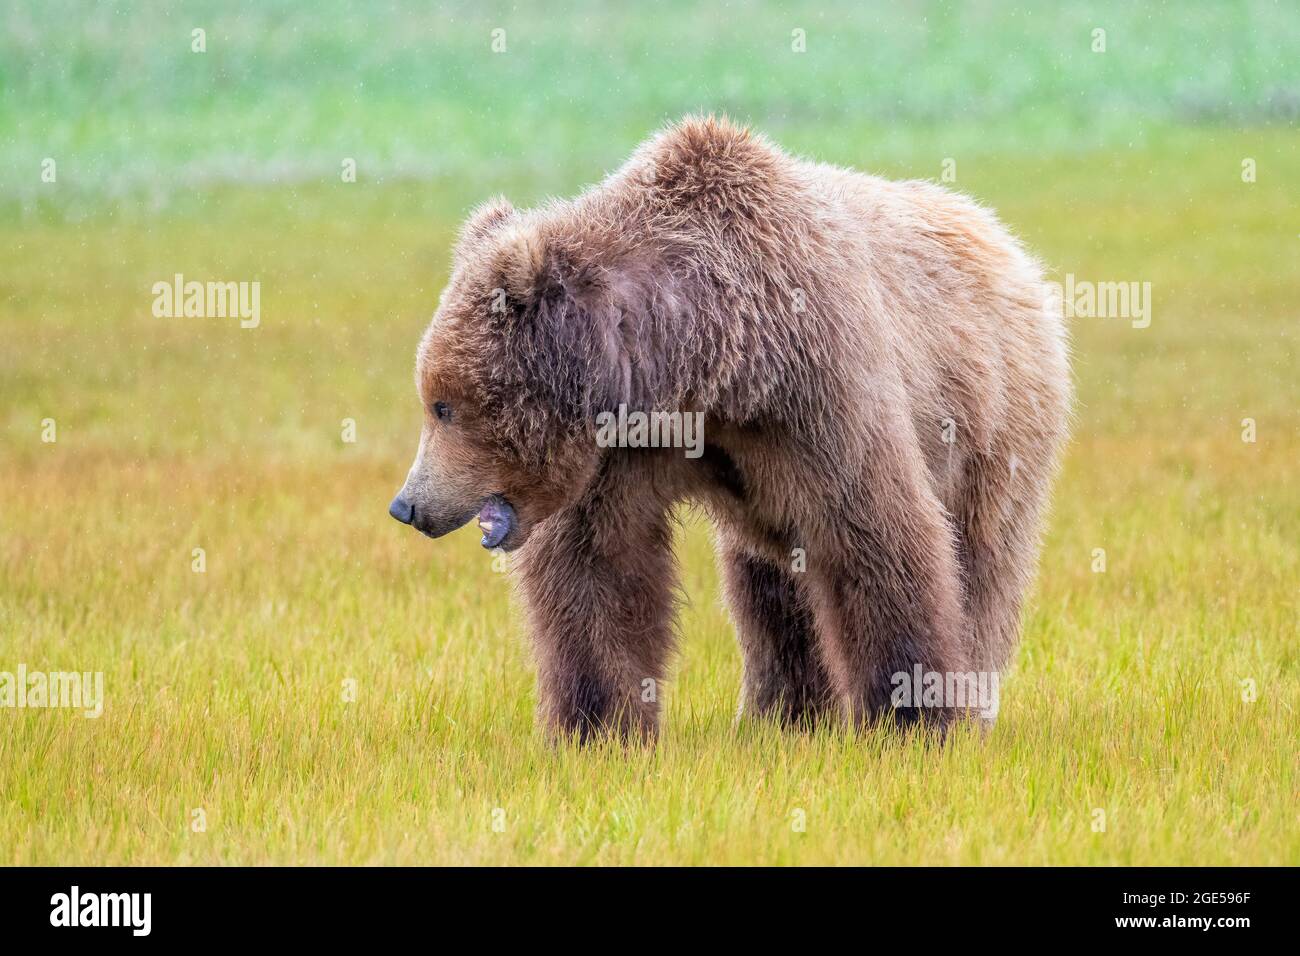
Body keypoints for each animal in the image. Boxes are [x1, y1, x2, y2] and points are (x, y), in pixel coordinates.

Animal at [384, 117, 1066, 738]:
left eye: (442, 405)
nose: (408, 505)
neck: (708, 359)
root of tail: (1007, 244)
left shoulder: (820, 387)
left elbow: (876, 531)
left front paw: (912, 719)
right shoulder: (623, 449)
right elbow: (597, 566)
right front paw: (597, 727)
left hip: (996, 424)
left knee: (981, 563)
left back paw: (966, 705)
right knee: (770, 587)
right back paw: (785, 714)